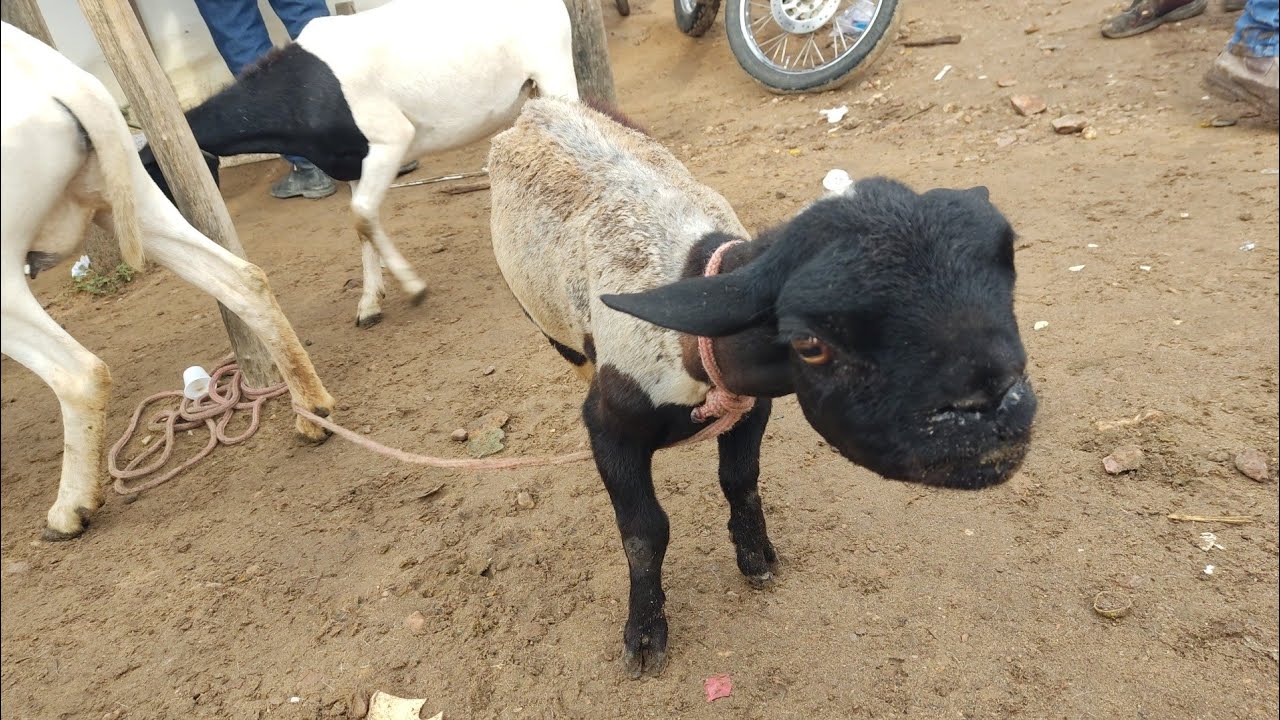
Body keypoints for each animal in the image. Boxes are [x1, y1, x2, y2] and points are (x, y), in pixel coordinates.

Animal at [1, 23, 336, 540]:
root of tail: (61, 82)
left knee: (80, 374)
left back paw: (70, 509)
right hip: (132, 195)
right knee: (241, 279)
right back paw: (312, 411)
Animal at [139, 0, 580, 328]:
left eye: (154, 177)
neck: (300, 90)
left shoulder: (391, 139)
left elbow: (363, 215)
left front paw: (413, 287)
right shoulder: (352, 161)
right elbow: (362, 226)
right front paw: (370, 303)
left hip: (555, 72)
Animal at [487, 97, 1039, 678]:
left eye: (1008, 281)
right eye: (811, 344)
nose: (999, 414)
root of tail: (537, 107)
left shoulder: (753, 407)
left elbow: (741, 481)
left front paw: (755, 557)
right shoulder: (611, 425)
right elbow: (644, 531)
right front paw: (644, 631)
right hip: (549, 326)